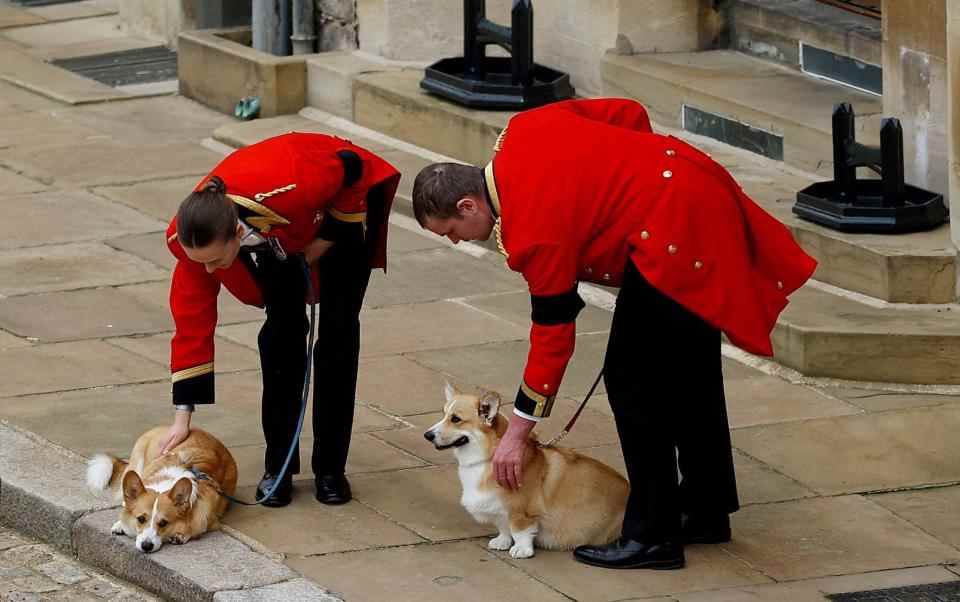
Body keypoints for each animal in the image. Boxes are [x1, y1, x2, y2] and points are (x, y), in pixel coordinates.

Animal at [85, 424, 237, 552]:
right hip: (137, 462)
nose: (146, 546)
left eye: (163, 523)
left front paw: (181, 534)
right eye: (141, 519)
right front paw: (121, 524)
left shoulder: (209, 519)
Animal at [424, 382, 628, 556]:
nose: (427, 435)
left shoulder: (522, 512)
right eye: (443, 414)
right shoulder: (499, 509)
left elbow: (520, 530)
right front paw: (502, 541)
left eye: (456, 419)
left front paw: (522, 550)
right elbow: (504, 527)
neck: (488, 457)